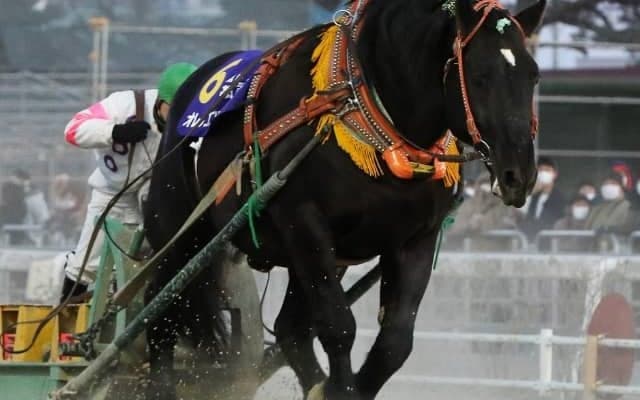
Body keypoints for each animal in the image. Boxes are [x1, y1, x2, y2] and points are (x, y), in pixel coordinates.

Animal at [143, 0, 547, 399]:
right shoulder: (306, 223)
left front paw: (345, 386)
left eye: (533, 76)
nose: (519, 173)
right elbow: (338, 327)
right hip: (182, 237)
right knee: (158, 313)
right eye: (480, 75)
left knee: (289, 329)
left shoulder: (416, 239)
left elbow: (395, 343)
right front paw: (338, 386)